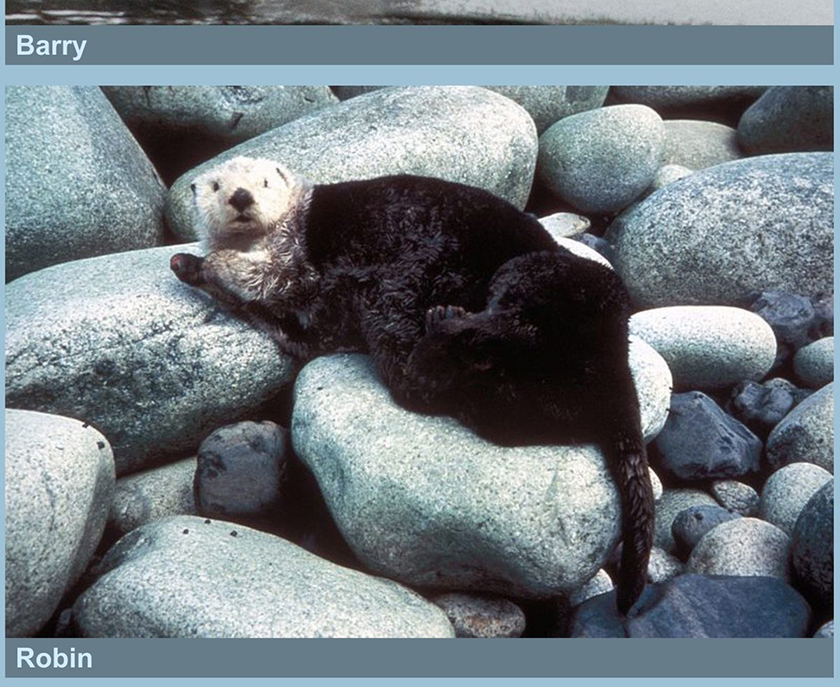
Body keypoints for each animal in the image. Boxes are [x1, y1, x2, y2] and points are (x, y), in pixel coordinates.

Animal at [171, 156, 653, 615]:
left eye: (265, 182)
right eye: (216, 185)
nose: (240, 197)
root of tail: (613, 369)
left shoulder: (293, 257)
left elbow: (271, 275)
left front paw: (210, 263)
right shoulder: (299, 318)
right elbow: (279, 314)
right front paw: (187, 263)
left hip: (544, 273)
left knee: (501, 320)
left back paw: (444, 320)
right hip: (511, 401)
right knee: (439, 385)